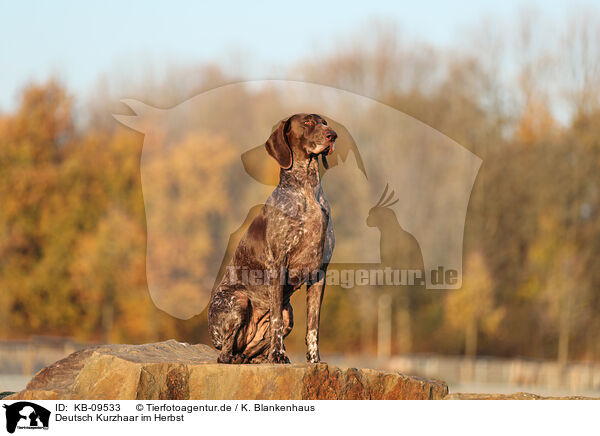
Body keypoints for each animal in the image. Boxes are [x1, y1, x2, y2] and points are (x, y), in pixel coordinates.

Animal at [209, 113, 336, 364]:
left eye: (324, 122)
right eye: (307, 122)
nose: (333, 135)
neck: (308, 190)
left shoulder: (319, 273)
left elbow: (313, 326)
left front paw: (314, 360)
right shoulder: (277, 264)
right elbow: (275, 319)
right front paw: (278, 355)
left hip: (290, 316)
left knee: (249, 352)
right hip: (238, 302)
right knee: (225, 353)